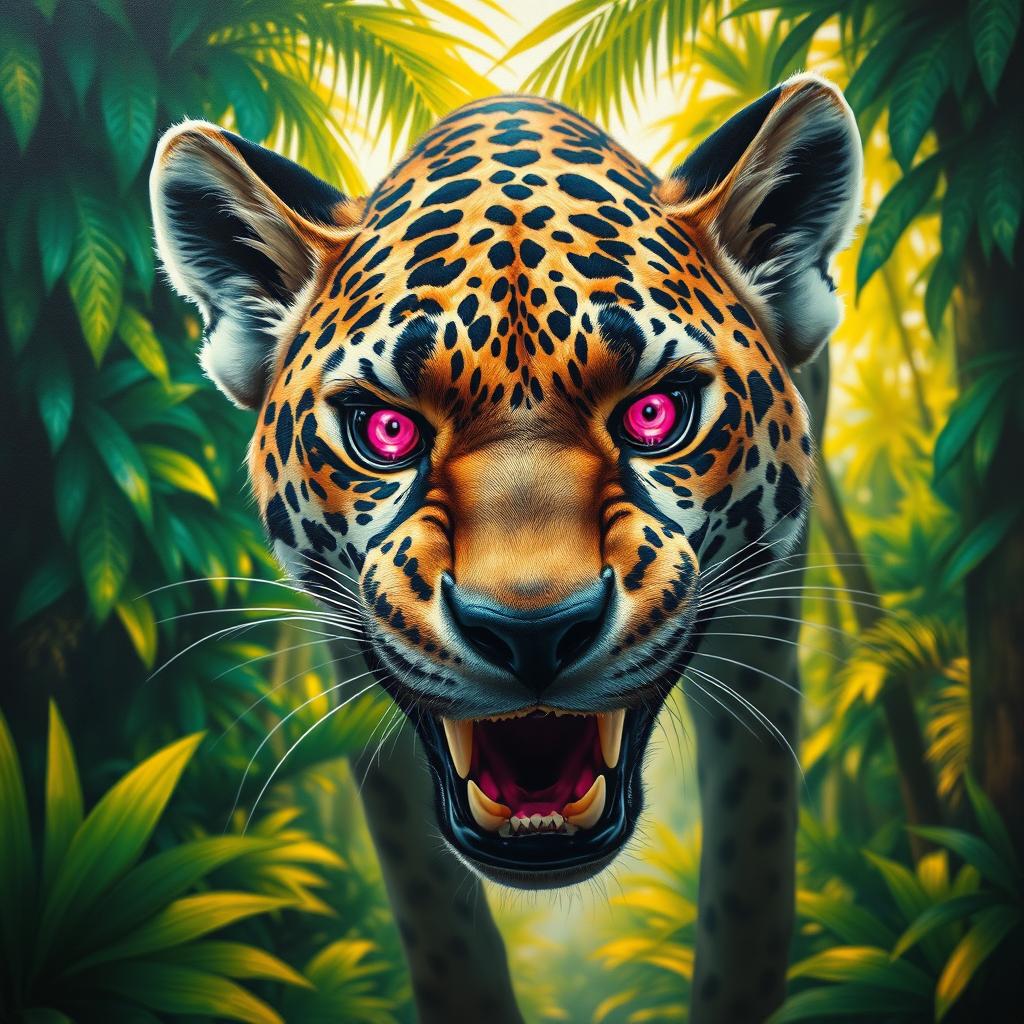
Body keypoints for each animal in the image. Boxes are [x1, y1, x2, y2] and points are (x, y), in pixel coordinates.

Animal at [151, 73, 861, 1024]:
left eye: (656, 414)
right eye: (385, 430)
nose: (533, 631)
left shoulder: (763, 641)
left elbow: (749, 872)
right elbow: (435, 911)